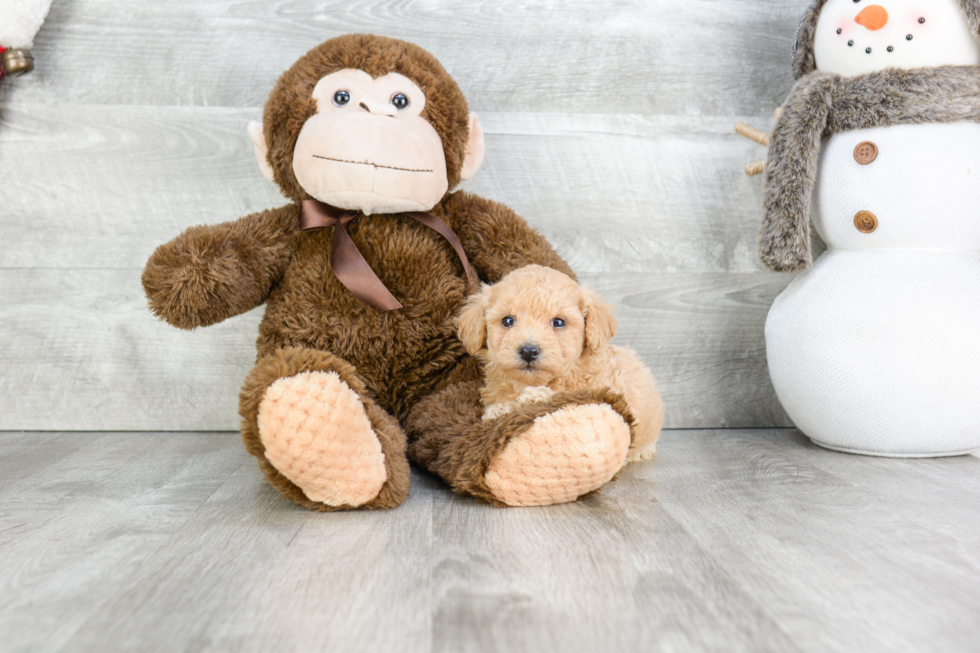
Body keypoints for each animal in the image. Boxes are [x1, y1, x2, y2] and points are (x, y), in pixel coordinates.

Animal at [456, 264, 664, 458]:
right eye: (507, 321)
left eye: (558, 322)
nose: (529, 351)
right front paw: (500, 409)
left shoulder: (592, 389)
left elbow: (563, 395)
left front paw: (536, 396)